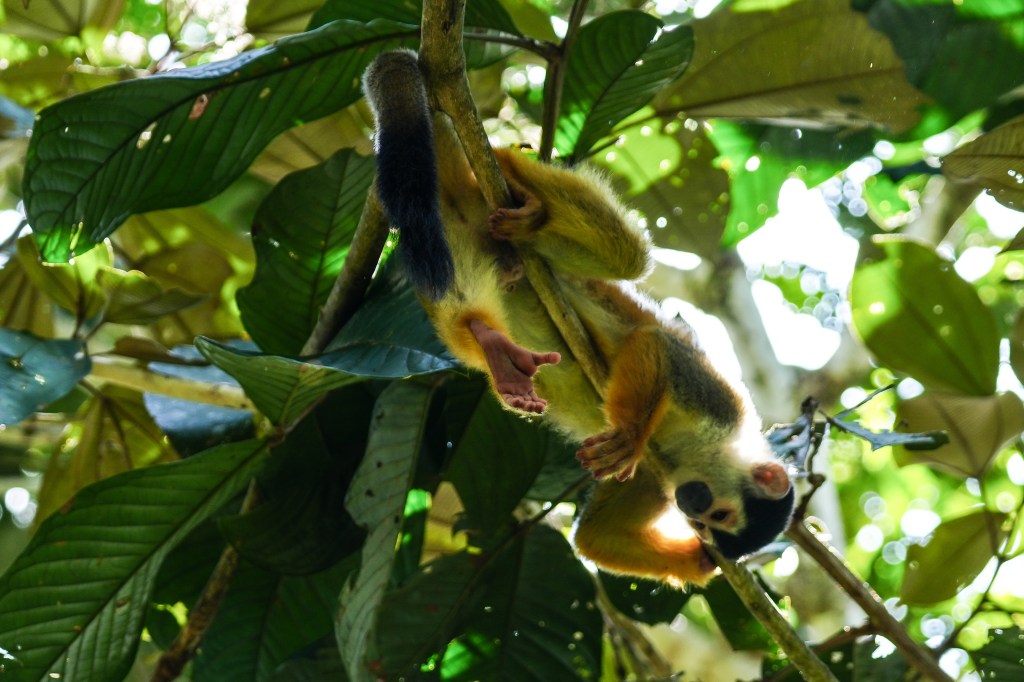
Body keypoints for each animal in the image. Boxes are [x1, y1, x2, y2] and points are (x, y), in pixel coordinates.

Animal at [362, 50, 795, 587]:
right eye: (715, 516)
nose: (693, 509)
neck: (697, 455)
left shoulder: (653, 480)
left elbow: (595, 536)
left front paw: (700, 565)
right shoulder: (720, 408)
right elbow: (657, 346)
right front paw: (632, 434)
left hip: (449, 232)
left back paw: (488, 341)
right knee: (628, 257)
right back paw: (518, 179)